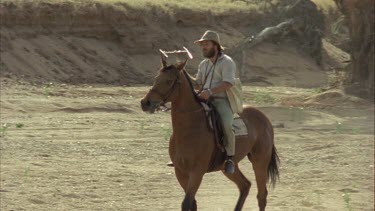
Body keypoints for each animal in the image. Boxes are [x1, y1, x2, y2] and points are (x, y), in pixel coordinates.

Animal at [141, 55, 280, 210]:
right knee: (245, 185)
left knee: (261, 195)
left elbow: (187, 202)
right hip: (228, 167)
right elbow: (192, 203)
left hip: (260, 161)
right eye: (156, 78)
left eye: (168, 81)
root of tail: (264, 118)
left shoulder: (197, 171)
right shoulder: (180, 171)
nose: (145, 103)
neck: (188, 131)